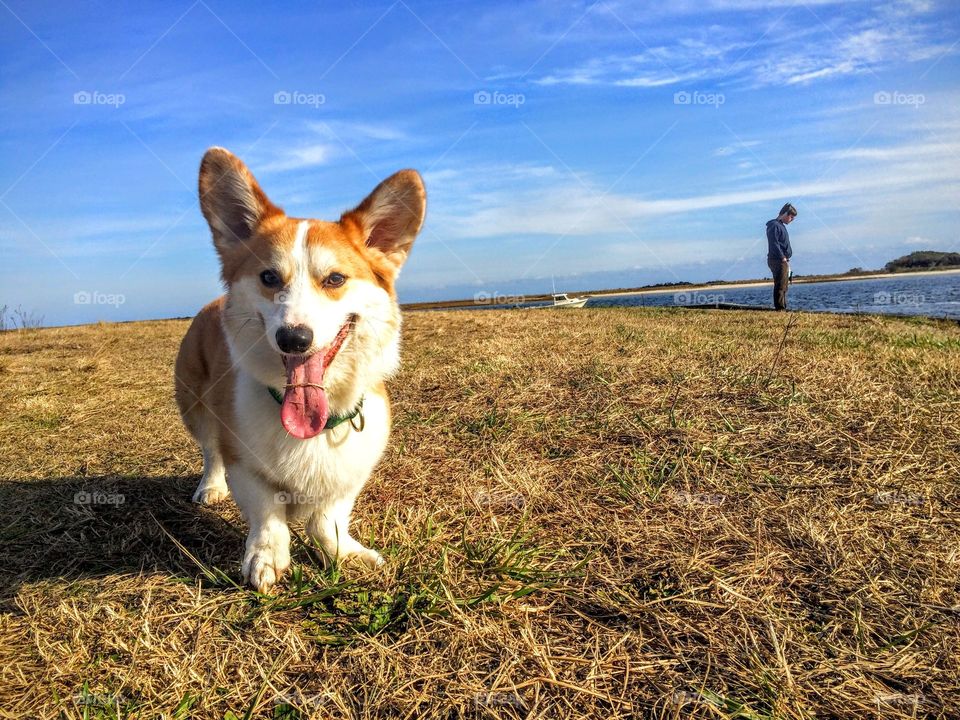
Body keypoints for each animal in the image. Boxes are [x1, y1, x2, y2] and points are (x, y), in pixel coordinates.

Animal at [173, 146, 428, 592]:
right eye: (269, 277)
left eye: (336, 279)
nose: (294, 339)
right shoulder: (244, 464)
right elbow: (267, 515)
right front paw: (266, 559)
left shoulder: (349, 474)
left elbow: (329, 520)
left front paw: (344, 553)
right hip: (195, 408)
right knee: (209, 451)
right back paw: (210, 487)